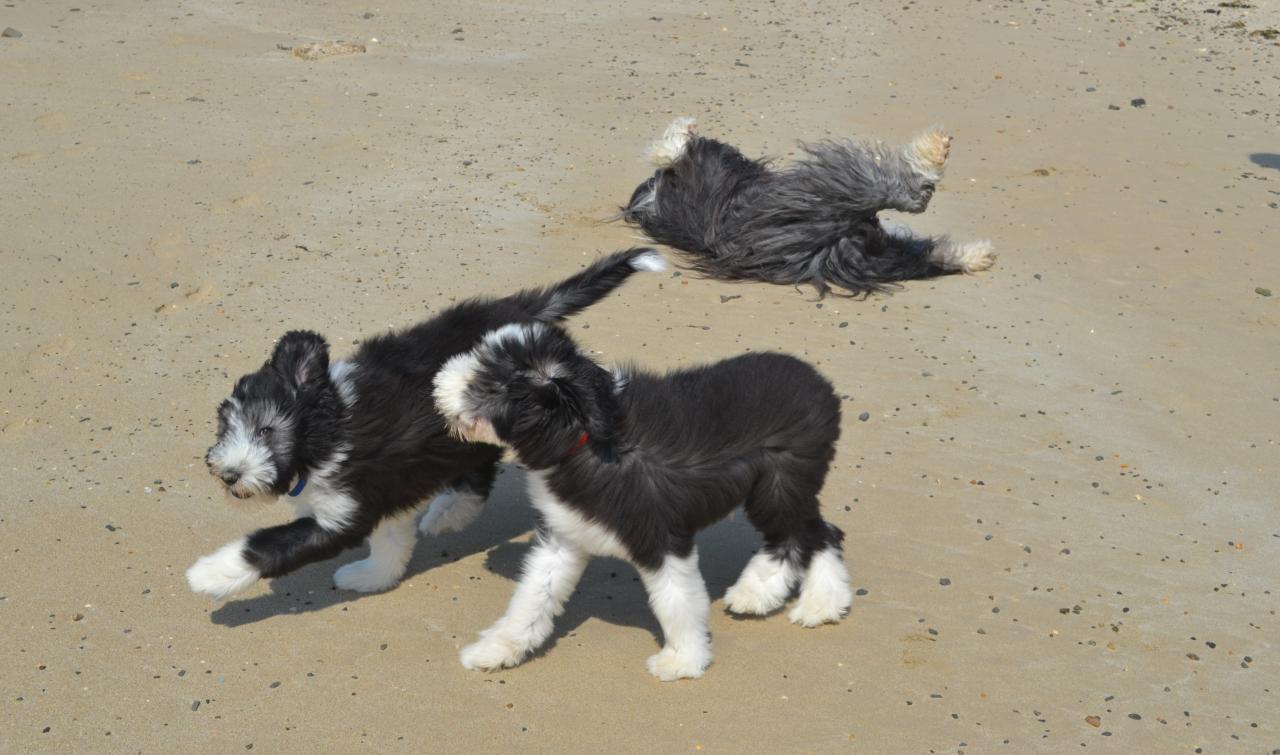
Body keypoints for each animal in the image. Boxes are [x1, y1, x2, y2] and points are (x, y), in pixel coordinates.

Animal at [189, 248, 670, 604]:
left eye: (266, 431)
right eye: (225, 427)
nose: (229, 474)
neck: (330, 428)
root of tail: (518, 311)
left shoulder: (343, 513)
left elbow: (266, 545)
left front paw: (208, 573)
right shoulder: (385, 488)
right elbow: (389, 541)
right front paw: (373, 577)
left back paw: (448, 511)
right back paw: (448, 511)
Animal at [435, 322, 855, 685]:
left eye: (487, 380)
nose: (436, 381)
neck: (579, 439)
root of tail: (817, 381)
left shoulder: (660, 539)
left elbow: (677, 602)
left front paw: (683, 660)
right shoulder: (563, 538)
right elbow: (533, 596)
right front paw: (497, 650)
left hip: (779, 485)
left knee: (808, 536)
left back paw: (801, 600)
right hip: (782, 490)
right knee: (813, 534)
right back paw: (789, 599)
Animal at [622, 117, 998, 296]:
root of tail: (827, 244)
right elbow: (670, 152)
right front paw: (681, 133)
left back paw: (975, 255)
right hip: (826, 196)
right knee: (907, 198)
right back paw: (934, 155)